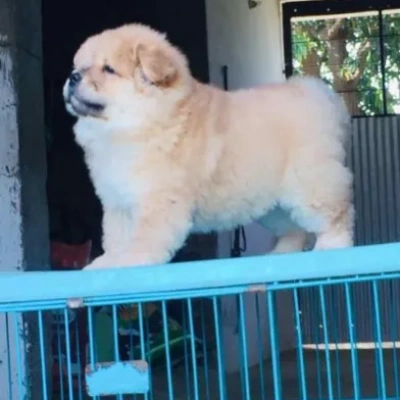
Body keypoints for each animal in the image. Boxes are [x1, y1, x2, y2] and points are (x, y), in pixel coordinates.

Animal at [62, 23, 354, 270]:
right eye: (79, 66)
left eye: (108, 70)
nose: (73, 77)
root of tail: (318, 94)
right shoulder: (118, 202)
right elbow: (115, 239)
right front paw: (106, 263)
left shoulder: (157, 200)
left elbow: (144, 239)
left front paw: (132, 261)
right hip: (273, 203)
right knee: (294, 229)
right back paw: (279, 255)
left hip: (310, 182)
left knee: (337, 214)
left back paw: (332, 246)